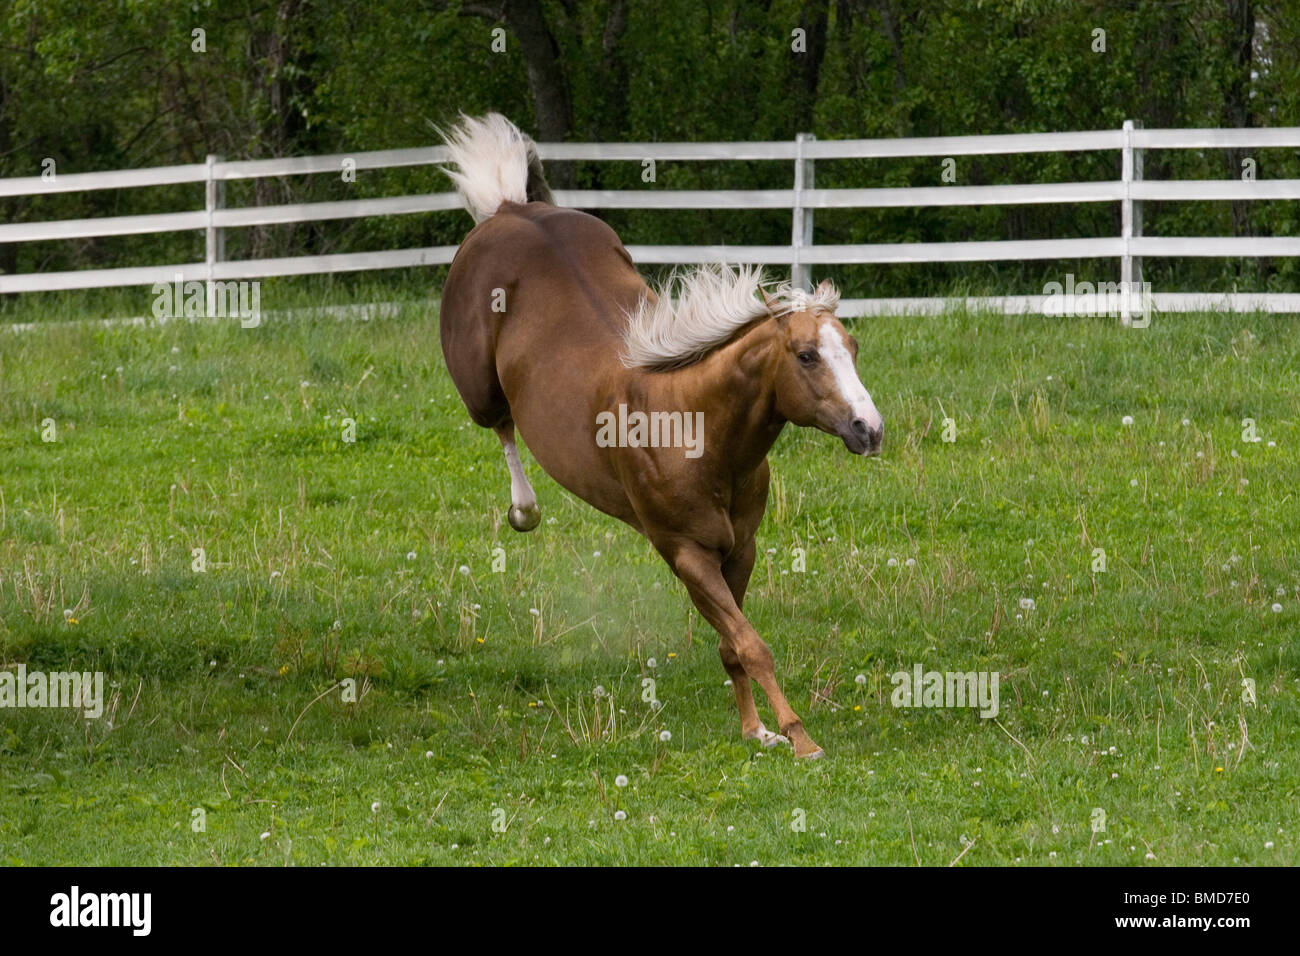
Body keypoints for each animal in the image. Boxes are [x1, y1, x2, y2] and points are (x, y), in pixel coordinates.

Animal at [439, 113, 883, 754]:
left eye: (852, 346)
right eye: (805, 355)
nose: (868, 429)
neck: (691, 429)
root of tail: (505, 208)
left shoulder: (740, 549)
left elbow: (732, 645)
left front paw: (756, 731)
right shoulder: (685, 552)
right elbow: (753, 644)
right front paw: (800, 738)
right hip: (478, 388)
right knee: (499, 422)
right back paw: (524, 509)